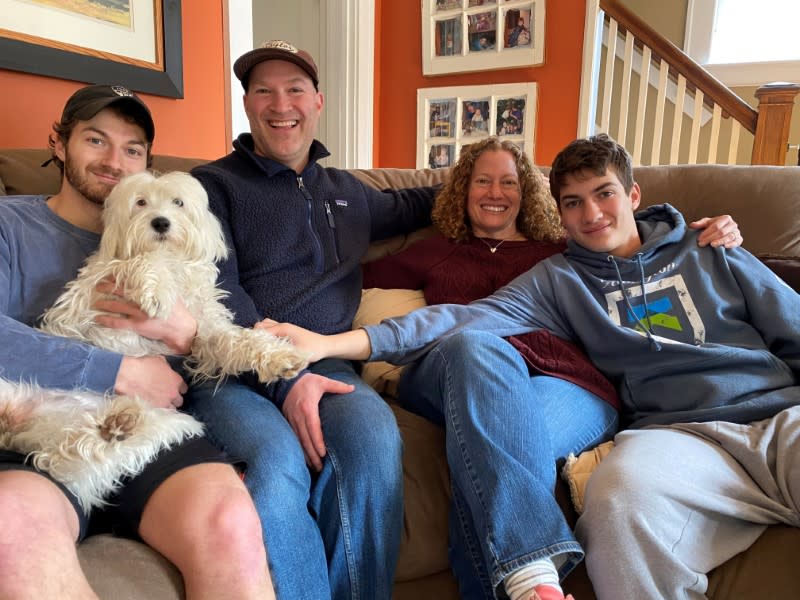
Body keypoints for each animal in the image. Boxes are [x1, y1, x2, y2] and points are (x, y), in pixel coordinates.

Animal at [0, 170, 308, 510]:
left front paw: (280, 357)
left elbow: (236, 340)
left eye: (178, 202)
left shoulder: (204, 330)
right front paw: (155, 290)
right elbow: (144, 262)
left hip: (160, 422)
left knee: (74, 457)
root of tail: (19, 424)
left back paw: (117, 426)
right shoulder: (103, 281)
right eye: (141, 202)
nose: (160, 222)